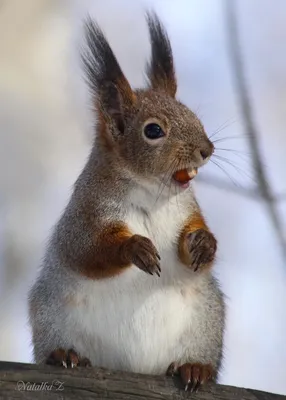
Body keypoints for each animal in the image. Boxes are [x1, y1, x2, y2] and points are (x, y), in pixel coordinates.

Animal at [29, 11, 226, 390]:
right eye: (153, 131)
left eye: (193, 116)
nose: (206, 149)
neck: (152, 194)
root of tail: (136, 368)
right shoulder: (86, 211)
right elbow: (86, 250)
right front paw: (135, 248)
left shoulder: (187, 209)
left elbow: (194, 242)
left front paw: (204, 243)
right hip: (50, 313)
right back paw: (65, 355)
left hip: (207, 321)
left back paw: (193, 368)